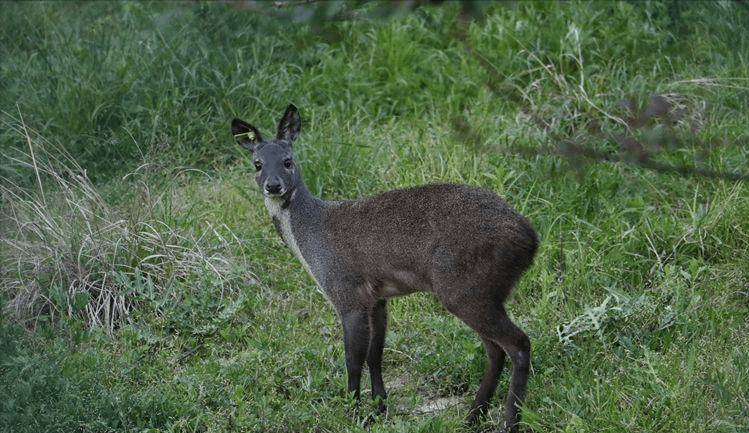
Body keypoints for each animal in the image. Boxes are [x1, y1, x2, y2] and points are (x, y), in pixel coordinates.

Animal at [229, 104, 536, 432]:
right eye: (257, 164)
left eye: (288, 161)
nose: (273, 186)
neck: (311, 236)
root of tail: (531, 239)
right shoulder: (377, 298)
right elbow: (375, 355)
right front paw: (379, 408)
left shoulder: (346, 293)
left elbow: (352, 359)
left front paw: (352, 413)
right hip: (482, 293)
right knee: (495, 351)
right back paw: (472, 417)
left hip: (464, 287)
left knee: (518, 344)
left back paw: (509, 422)